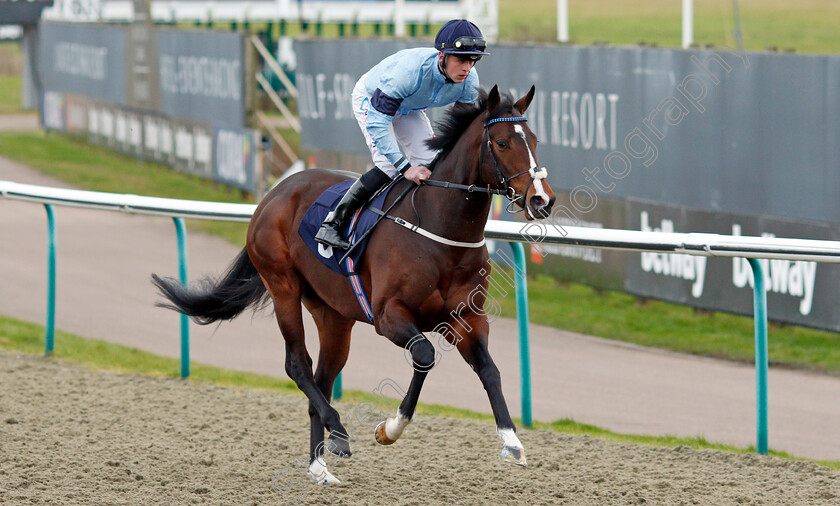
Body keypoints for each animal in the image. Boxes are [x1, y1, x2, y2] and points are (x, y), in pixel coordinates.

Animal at [154, 85, 556, 484]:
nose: (542, 199)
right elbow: (424, 356)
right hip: (282, 285)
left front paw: (512, 442)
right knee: (297, 365)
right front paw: (389, 429)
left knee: (322, 378)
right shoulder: (389, 316)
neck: (440, 230)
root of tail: (274, 193)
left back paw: (319, 467)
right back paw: (337, 431)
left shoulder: (467, 317)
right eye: (502, 143)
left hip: (333, 315)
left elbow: (489, 370)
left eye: (535, 139)